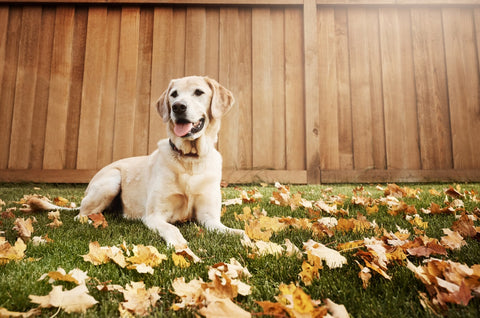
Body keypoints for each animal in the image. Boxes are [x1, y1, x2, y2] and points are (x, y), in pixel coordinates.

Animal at [78, 76, 244, 248]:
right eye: (174, 94)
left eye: (199, 92)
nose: (178, 107)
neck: (190, 160)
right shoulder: (155, 215)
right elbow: (172, 229)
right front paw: (180, 246)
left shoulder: (209, 217)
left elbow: (235, 231)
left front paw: (245, 239)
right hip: (112, 180)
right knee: (81, 214)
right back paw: (91, 222)